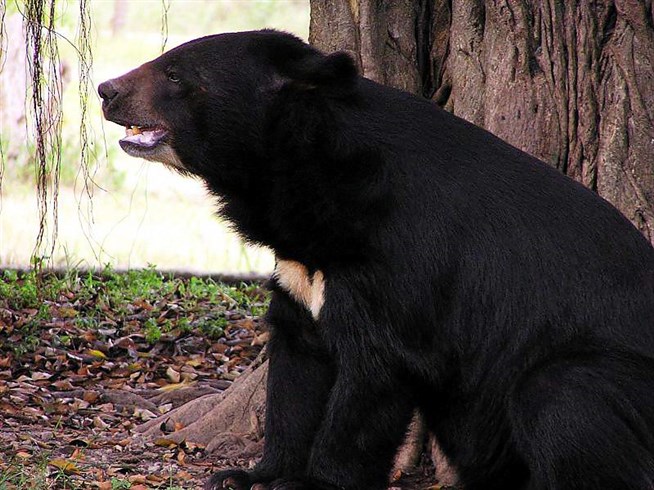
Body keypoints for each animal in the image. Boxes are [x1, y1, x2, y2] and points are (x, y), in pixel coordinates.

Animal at [100, 30, 654, 490]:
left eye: (175, 74)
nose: (106, 90)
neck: (310, 174)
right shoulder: (302, 264)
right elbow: (297, 365)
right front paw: (252, 475)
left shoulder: (404, 260)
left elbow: (375, 372)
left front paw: (313, 483)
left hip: (611, 380)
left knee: (563, 402)